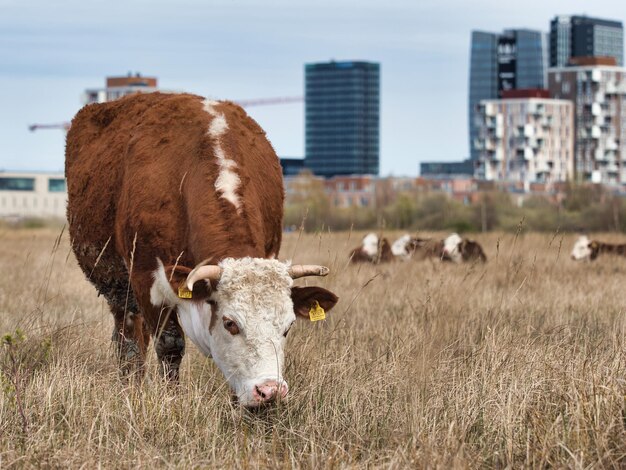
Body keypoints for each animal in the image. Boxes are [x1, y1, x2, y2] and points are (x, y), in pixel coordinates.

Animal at [64, 92, 336, 408]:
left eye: (289, 326)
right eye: (230, 323)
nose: (269, 391)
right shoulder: (147, 279)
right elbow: (169, 345)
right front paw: (172, 399)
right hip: (119, 290)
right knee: (129, 342)